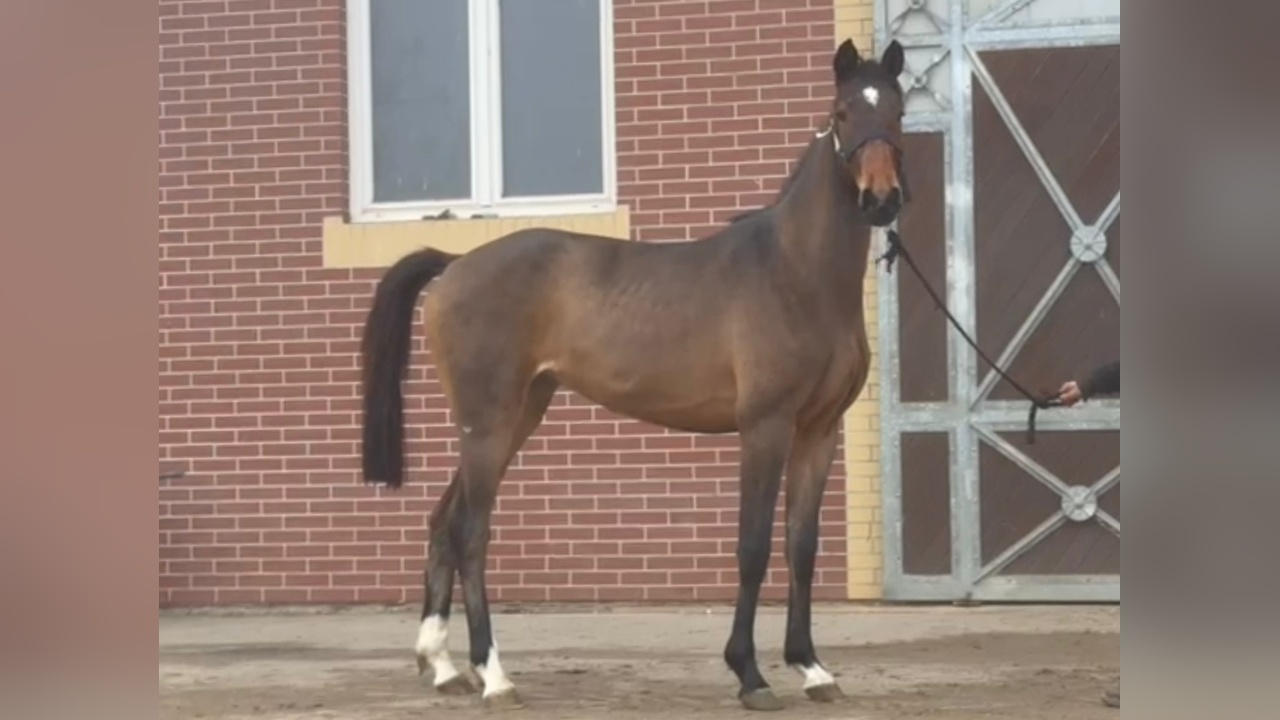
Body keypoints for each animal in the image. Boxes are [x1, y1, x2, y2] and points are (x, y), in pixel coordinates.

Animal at [359, 38, 907, 712]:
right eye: (842, 113)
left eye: (898, 111)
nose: (882, 198)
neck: (796, 273)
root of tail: (456, 263)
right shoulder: (766, 428)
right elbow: (753, 546)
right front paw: (750, 674)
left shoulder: (819, 432)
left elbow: (801, 546)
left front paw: (812, 667)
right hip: (488, 424)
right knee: (470, 532)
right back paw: (494, 674)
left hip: (518, 415)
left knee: (443, 521)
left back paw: (441, 666)